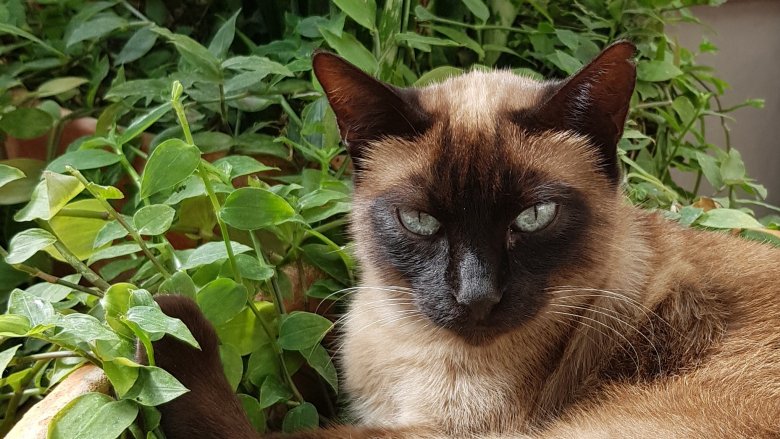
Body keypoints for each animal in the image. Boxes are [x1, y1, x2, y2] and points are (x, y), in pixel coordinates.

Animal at [143, 42, 780, 439]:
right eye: (420, 221)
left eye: (534, 217)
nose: (476, 296)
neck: (400, 341)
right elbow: (293, 329)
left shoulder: (445, 430)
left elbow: (288, 432)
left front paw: (162, 317)